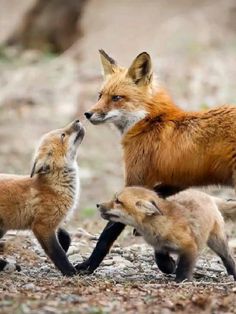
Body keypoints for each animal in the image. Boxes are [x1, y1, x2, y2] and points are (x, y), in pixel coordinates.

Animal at [0, 119, 84, 274]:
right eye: (63, 135)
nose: (77, 120)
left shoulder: (53, 223)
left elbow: (66, 237)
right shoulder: (42, 226)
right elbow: (57, 252)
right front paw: (70, 271)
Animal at [75, 50, 236, 274]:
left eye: (117, 98)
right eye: (100, 95)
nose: (88, 114)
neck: (149, 121)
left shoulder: (136, 180)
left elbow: (108, 234)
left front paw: (88, 265)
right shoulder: (175, 181)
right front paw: (165, 260)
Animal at [97, 188, 236, 284]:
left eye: (118, 201)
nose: (98, 205)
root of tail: (208, 196)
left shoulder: (190, 246)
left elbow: (185, 266)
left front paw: (182, 280)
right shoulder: (159, 246)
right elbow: (161, 261)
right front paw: (170, 266)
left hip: (216, 241)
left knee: (227, 257)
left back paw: (232, 273)